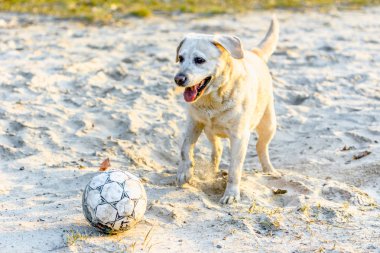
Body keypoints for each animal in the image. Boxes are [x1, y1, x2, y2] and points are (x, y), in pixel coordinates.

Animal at [174, 16, 280, 204]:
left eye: (199, 60)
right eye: (180, 58)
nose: (178, 79)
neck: (214, 99)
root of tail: (255, 53)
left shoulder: (239, 137)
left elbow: (234, 170)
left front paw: (231, 194)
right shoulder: (194, 123)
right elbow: (185, 148)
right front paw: (184, 172)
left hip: (268, 124)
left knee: (261, 147)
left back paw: (269, 170)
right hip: (209, 130)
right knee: (217, 150)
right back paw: (212, 171)